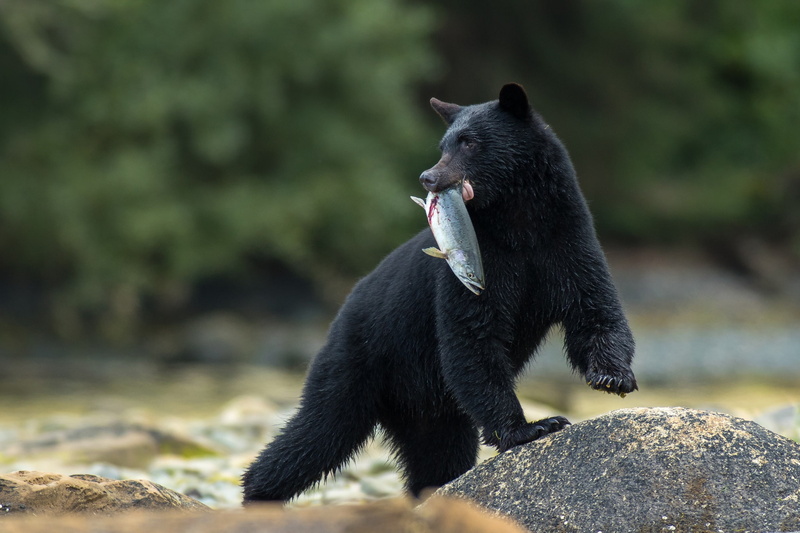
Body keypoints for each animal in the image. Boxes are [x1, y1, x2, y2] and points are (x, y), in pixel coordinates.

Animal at [241, 83, 637, 503]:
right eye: (443, 145)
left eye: (470, 142)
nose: (428, 177)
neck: (519, 224)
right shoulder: (475, 265)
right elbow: (472, 335)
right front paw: (531, 427)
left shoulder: (566, 241)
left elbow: (593, 308)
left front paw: (612, 377)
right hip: (357, 361)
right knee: (320, 429)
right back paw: (258, 494)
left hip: (432, 409)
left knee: (438, 457)